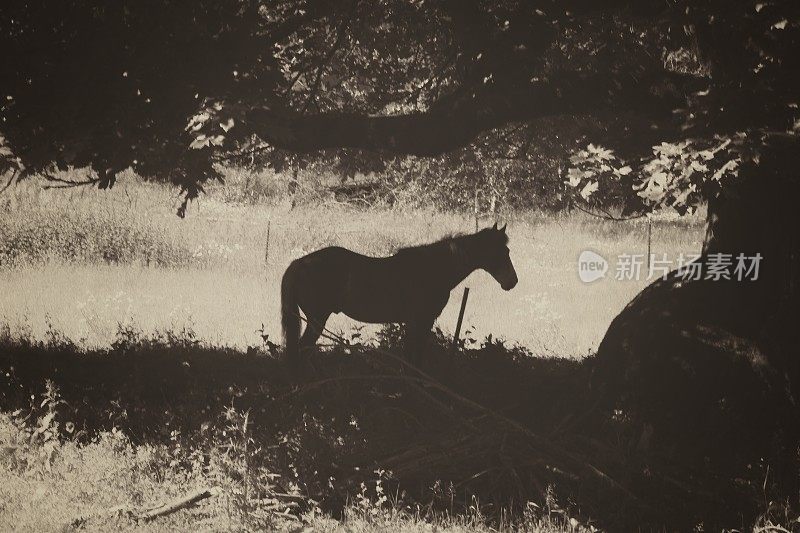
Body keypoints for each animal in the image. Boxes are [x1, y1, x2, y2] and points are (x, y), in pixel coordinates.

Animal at [282, 222, 520, 364]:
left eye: (507, 250)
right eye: (501, 251)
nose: (513, 281)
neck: (432, 268)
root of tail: (299, 263)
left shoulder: (417, 323)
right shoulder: (419, 321)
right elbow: (414, 357)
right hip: (316, 320)